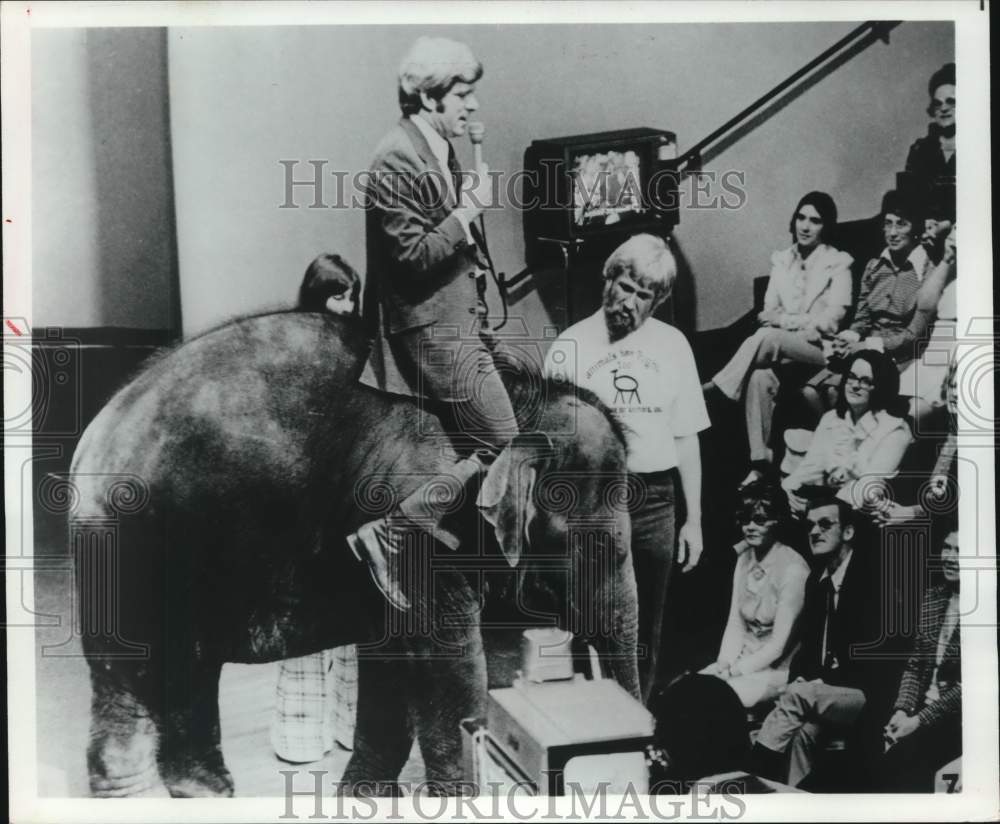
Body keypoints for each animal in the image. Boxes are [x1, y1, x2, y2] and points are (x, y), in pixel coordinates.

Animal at [68, 310, 640, 800]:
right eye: (608, 549)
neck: (518, 405)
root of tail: (90, 441)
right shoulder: (424, 536)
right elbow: (448, 669)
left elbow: (391, 663)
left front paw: (361, 798)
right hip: (143, 552)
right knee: (155, 679)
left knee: (160, 686)